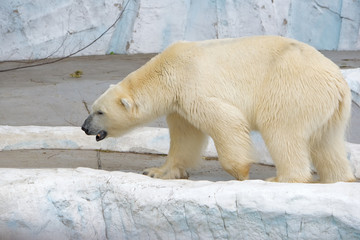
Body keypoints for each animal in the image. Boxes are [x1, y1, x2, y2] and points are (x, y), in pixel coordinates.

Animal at [81, 35, 354, 183]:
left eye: (99, 112)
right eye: (93, 108)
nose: (84, 127)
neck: (167, 71)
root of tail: (338, 82)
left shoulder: (192, 85)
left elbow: (226, 120)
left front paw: (241, 172)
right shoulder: (179, 104)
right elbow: (185, 137)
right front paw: (157, 171)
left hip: (291, 89)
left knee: (281, 130)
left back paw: (282, 178)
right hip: (331, 109)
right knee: (327, 142)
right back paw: (339, 178)